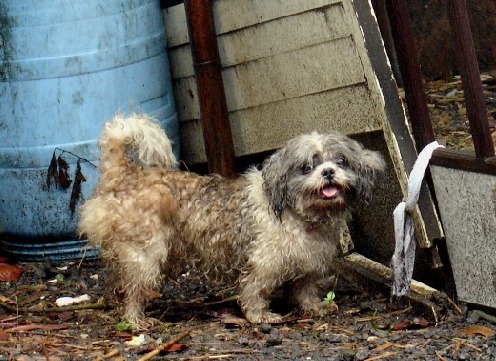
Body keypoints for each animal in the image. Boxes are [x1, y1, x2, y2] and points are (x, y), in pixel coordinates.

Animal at [79, 114, 386, 324]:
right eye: (307, 166)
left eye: (341, 161)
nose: (328, 172)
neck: (299, 216)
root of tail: (124, 172)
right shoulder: (262, 264)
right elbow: (254, 292)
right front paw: (260, 316)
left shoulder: (307, 264)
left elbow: (305, 289)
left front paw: (314, 308)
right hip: (144, 254)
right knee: (133, 287)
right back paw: (136, 319)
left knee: (118, 281)